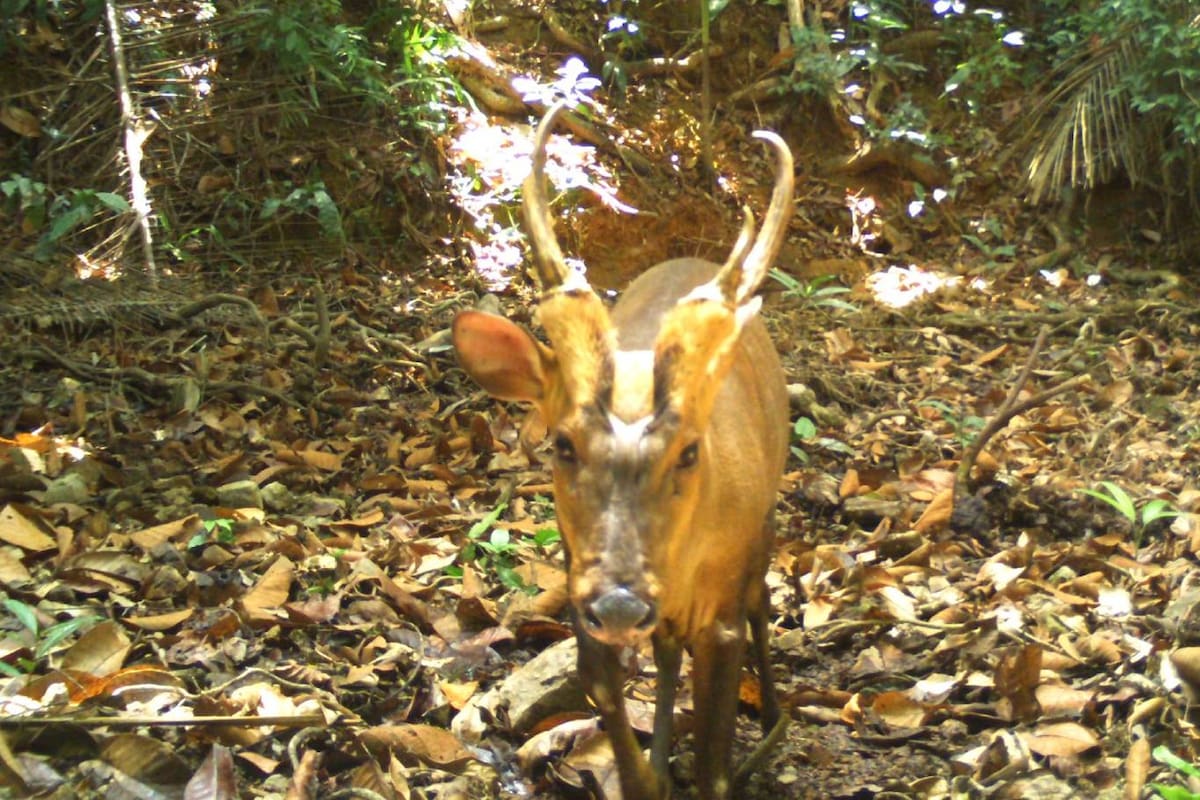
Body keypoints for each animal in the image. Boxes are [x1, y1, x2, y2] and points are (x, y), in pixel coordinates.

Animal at [452, 102, 793, 800]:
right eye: (562, 444)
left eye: (689, 453)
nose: (619, 604)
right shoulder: (579, 577)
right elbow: (606, 692)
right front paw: (651, 772)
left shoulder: (720, 607)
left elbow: (715, 768)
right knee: (665, 652)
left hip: (766, 520)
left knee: (762, 603)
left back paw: (773, 720)